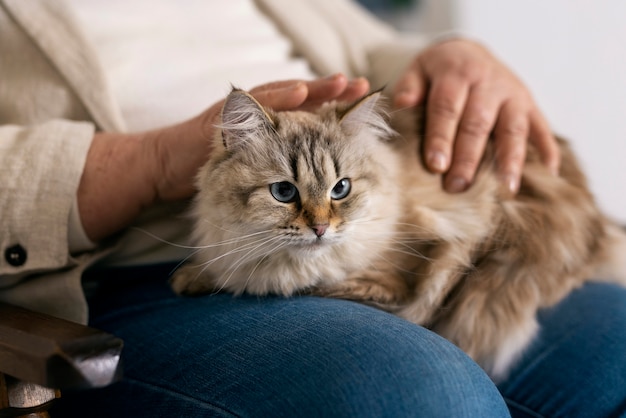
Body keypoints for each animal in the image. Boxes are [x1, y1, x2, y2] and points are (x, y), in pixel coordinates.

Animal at [169, 86, 624, 380]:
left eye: (341, 189)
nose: (320, 228)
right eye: (284, 192)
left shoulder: (413, 269)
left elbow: (306, 282)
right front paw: (193, 276)